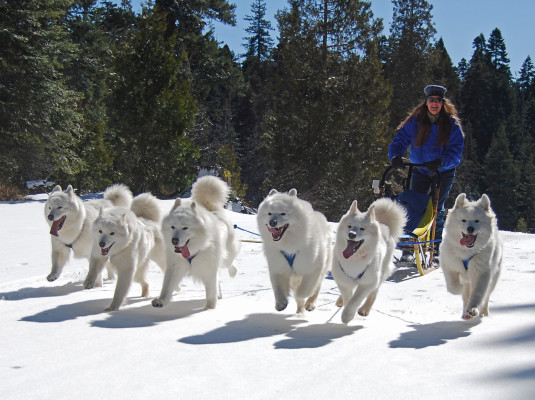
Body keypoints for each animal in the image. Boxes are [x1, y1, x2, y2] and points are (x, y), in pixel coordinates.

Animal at [152, 177, 242, 310]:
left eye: (185, 228)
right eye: (173, 227)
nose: (174, 240)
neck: (194, 250)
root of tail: (212, 210)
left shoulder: (209, 269)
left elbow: (211, 291)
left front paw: (209, 308)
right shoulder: (175, 267)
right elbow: (167, 287)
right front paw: (160, 301)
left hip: (228, 254)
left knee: (230, 263)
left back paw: (233, 272)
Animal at [255, 189, 330, 318]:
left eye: (283, 213)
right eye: (269, 213)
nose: (272, 222)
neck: (288, 245)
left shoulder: (312, 267)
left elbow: (305, 289)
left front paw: (300, 295)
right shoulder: (278, 265)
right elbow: (277, 287)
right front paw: (281, 303)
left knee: (316, 289)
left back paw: (310, 305)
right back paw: (299, 312)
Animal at [440, 192, 502, 320]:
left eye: (477, 221)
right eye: (463, 220)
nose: (470, 228)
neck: (466, 252)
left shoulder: (482, 273)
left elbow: (478, 293)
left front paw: (473, 309)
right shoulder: (449, 265)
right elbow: (452, 285)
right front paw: (458, 288)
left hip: (493, 278)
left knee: (486, 297)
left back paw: (482, 312)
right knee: (465, 297)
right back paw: (465, 313)